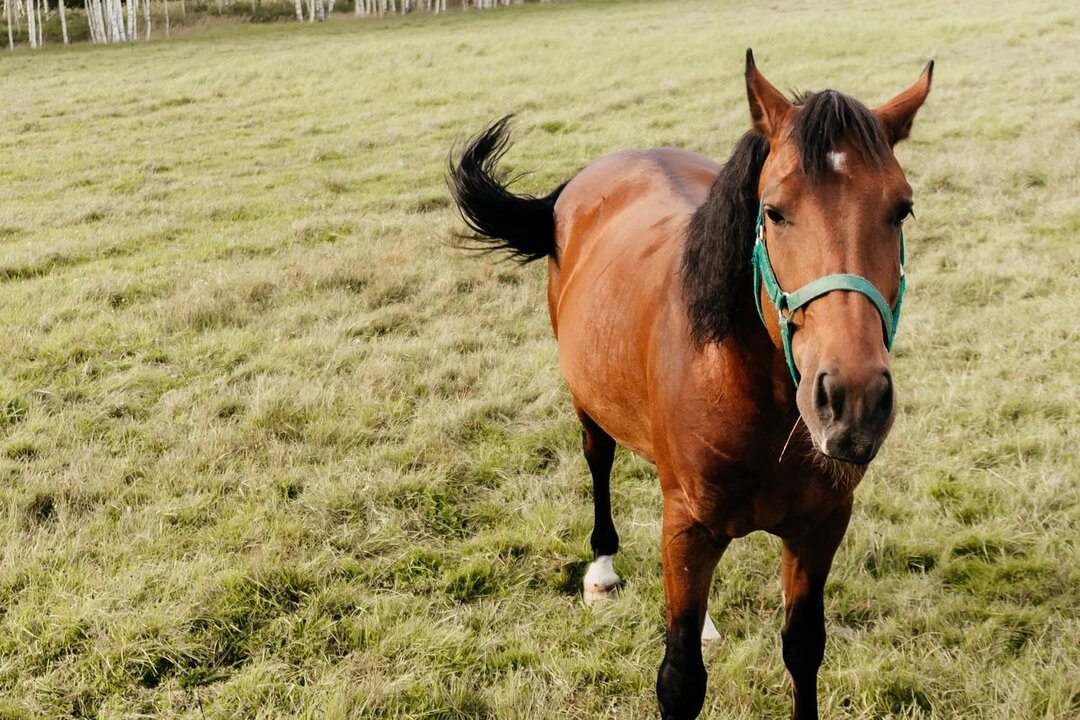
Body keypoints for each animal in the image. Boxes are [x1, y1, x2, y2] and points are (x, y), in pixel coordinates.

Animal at [451, 52, 933, 720]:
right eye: (775, 211)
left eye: (901, 209)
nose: (853, 401)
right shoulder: (688, 529)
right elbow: (680, 680)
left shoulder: (819, 528)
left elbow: (803, 649)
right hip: (588, 407)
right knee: (598, 461)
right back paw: (602, 568)